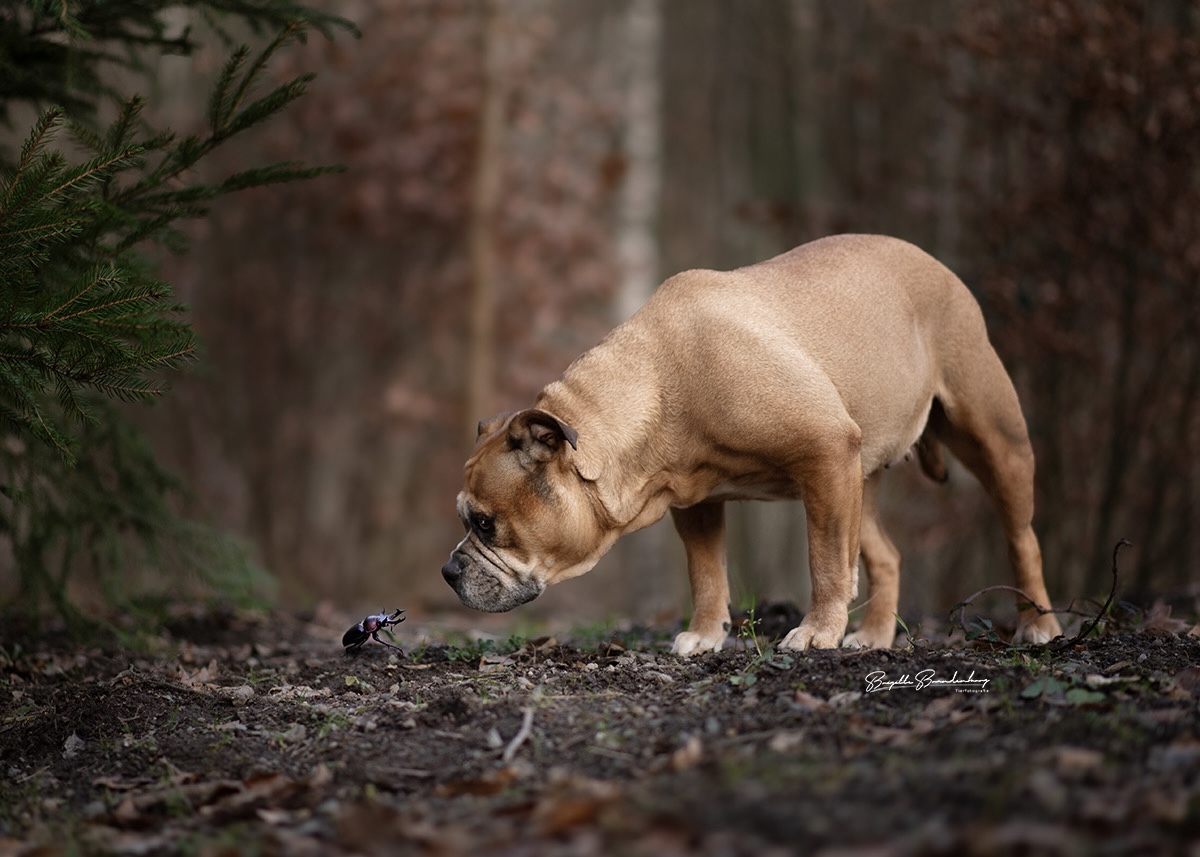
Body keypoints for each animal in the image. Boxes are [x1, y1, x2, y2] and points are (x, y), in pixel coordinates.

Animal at [441, 230, 1060, 652]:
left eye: (485, 523)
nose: (449, 571)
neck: (660, 384)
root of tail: (932, 261)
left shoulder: (824, 450)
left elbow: (825, 560)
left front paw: (816, 631)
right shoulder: (696, 502)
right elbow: (707, 573)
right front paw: (705, 636)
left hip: (991, 436)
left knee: (1022, 538)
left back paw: (1039, 625)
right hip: (858, 480)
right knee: (885, 555)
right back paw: (875, 635)